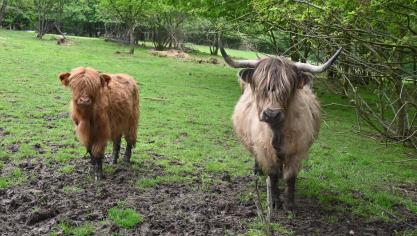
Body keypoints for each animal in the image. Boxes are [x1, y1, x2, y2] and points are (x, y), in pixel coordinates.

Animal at [219, 46, 340, 212]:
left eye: (287, 89)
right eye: (261, 88)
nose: (272, 114)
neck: (276, 132)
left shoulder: (297, 151)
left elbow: (290, 177)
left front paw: (290, 205)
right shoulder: (265, 151)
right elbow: (272, 175)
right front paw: (275, 202)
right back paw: (257, 171)